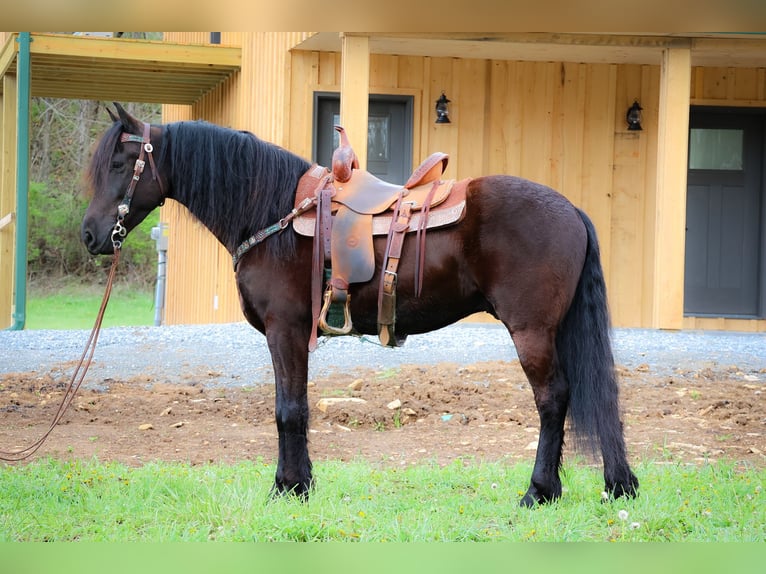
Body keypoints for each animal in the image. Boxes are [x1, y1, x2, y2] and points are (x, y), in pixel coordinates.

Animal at [81, 104, 640, 508]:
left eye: (118, 165)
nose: (89, 236)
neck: (275, 213)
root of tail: (571, 209)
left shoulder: (286, 330)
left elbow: (288, 411)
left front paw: (288, 489)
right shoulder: (291, 335)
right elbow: (296, 407)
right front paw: (298, 484)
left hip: (531, 331)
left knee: (552, 400)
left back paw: (539, 492)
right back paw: (614, 484)